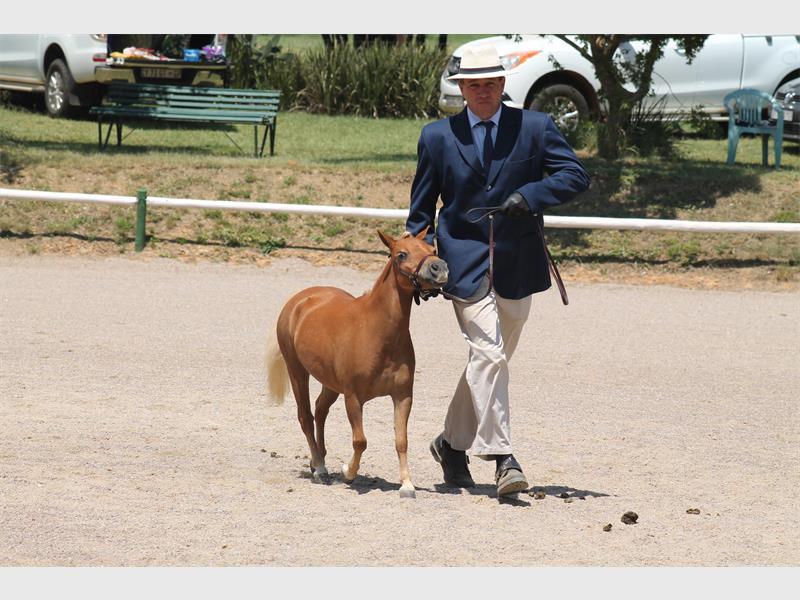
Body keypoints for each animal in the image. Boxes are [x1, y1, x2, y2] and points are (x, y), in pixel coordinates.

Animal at [265, 228, 448, 498]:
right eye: (401, 254)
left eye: (432, 249)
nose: (440, 269)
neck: (378, 333)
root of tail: (299, 300)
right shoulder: (353, 397)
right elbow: (360, 440)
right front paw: (347, 472)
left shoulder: (403, 395)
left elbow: (401, 440)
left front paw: (406, 484)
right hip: (297, 371)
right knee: (306, 416)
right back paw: (320, 468)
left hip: (330, 383)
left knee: (320, 410)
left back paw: (318, 461)